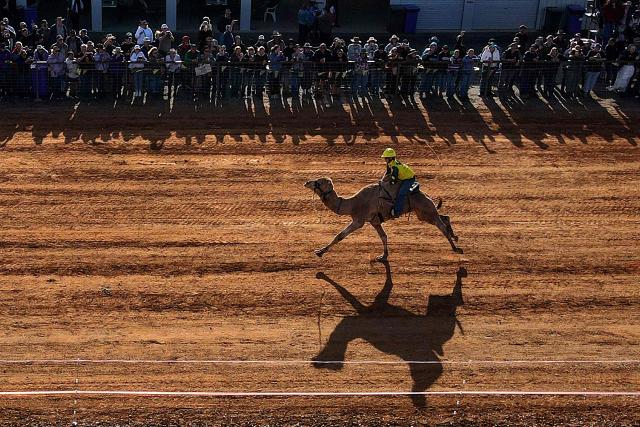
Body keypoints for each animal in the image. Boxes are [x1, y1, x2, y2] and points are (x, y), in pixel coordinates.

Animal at [304, 177, 462, 261]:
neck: (353, 204)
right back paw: (455, 237)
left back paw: (455, 248)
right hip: (422, 212)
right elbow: (383, 236)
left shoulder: (359, 220)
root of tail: (425, 194)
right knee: (444, 217)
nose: (306, 182)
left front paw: (320, 252)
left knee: (440, 224)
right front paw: (383, 256)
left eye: (318, 182)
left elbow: (340, 235)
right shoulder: (374, 221)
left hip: (424, 210)